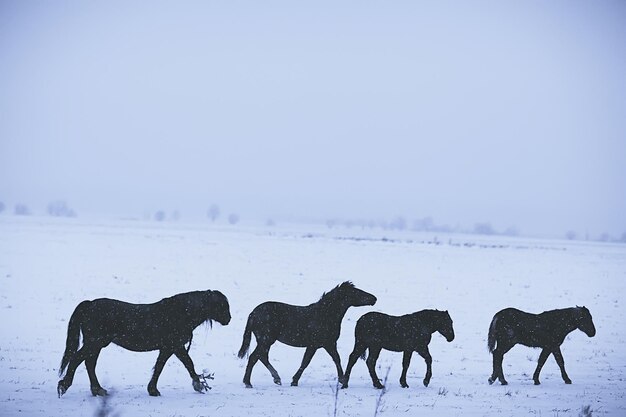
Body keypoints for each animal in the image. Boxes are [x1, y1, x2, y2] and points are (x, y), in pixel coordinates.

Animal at [56, 290, 229, 396]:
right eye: (222, 305)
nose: (229, 319)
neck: (180, 313)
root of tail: (90, 304)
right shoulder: (174, 346)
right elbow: (188, 363)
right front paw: (198, 384)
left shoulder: (167, 348)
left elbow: (159, 366)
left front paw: (152, 389)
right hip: (95, 343)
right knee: (78, 360)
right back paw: (64, 385)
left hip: (96, 345)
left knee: (89, 363)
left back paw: (98, 390)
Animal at [238, 282, 376, 388]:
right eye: (356, 292)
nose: (374, 298)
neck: (325, 315)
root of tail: (253, 313)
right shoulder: (318, 345)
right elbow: (308, 362)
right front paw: (295, 381)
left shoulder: (325, 344)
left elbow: (332, 359)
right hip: (266, 340)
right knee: (254, 357)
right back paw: (248, 383)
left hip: (265, 341)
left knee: (262, 357)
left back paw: (276, 379)